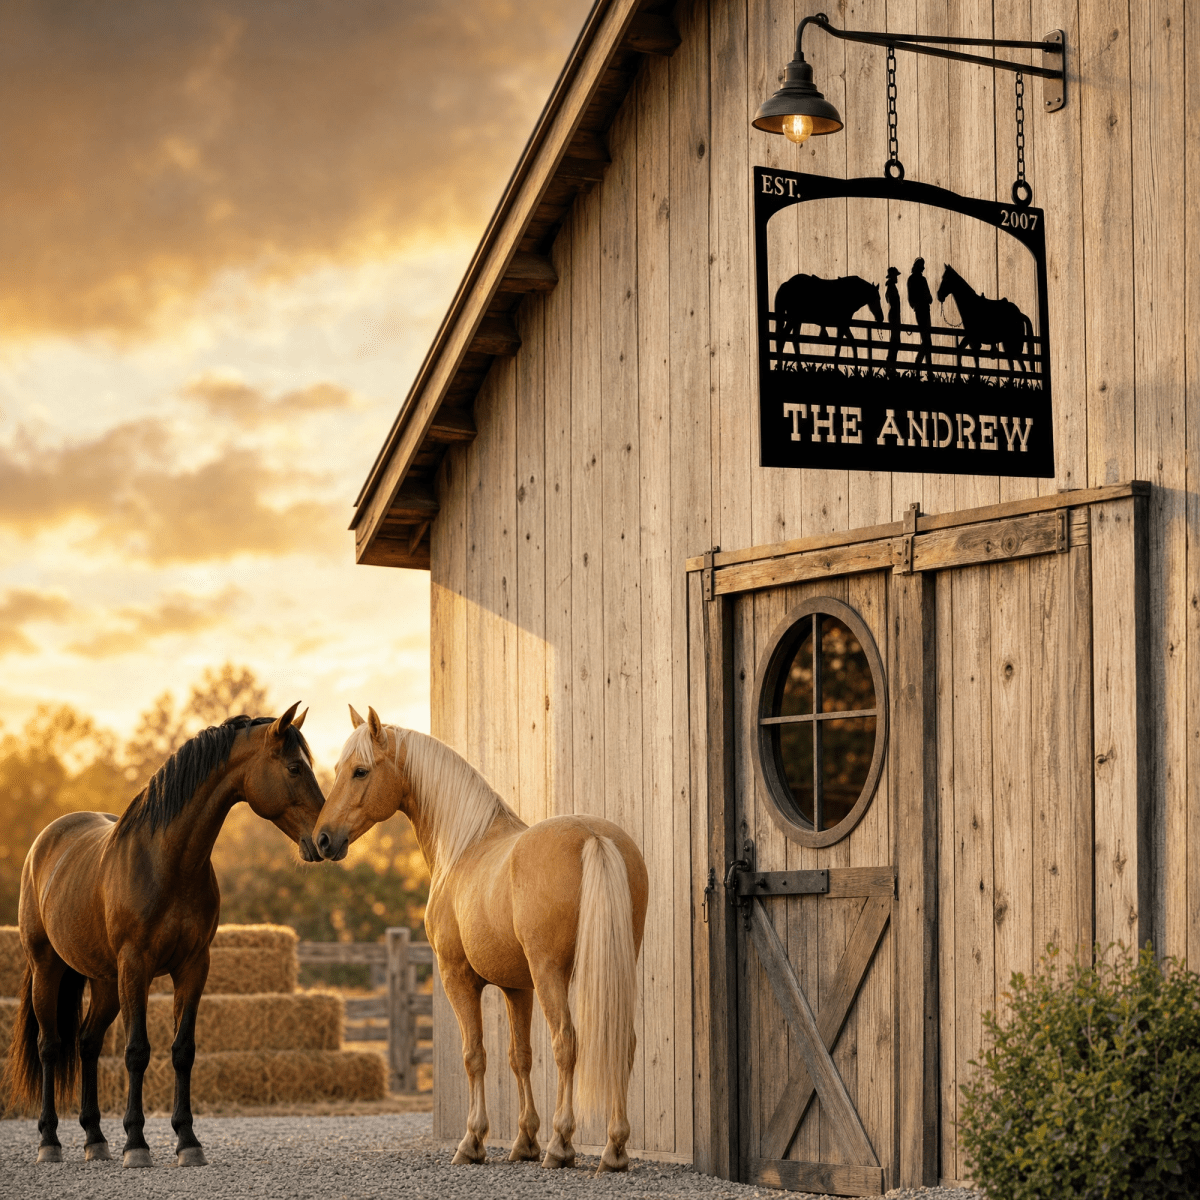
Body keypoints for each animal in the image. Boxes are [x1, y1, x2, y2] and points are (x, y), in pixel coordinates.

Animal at [5, 705, 323, 1168]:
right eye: (295, 768)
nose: (325, 839)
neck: (167, 862)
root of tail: (45, 841)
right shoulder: (136, 966)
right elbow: (137, 1051)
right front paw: (136, 1144)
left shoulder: (193, 967)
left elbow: (182, 1050)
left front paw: (187, 1141)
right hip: (48, 967)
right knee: (50, 1045)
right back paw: (50, 1141)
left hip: (106, 983)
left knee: (87, 1043)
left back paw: (95, 1138)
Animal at [313, 707, 649, 1177]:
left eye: (360, 771)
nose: (323, 839)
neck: (464, 846)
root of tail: (593, 836)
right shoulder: (516, 987)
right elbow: (519, 1056)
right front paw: (524, 1141)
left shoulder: (458, 977)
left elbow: (475, 1055)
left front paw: (473, 1141)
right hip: (613, 966)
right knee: (621, 1040)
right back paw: (614, 1149)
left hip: (551, 974)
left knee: (566, 1042)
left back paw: (562, 1144)